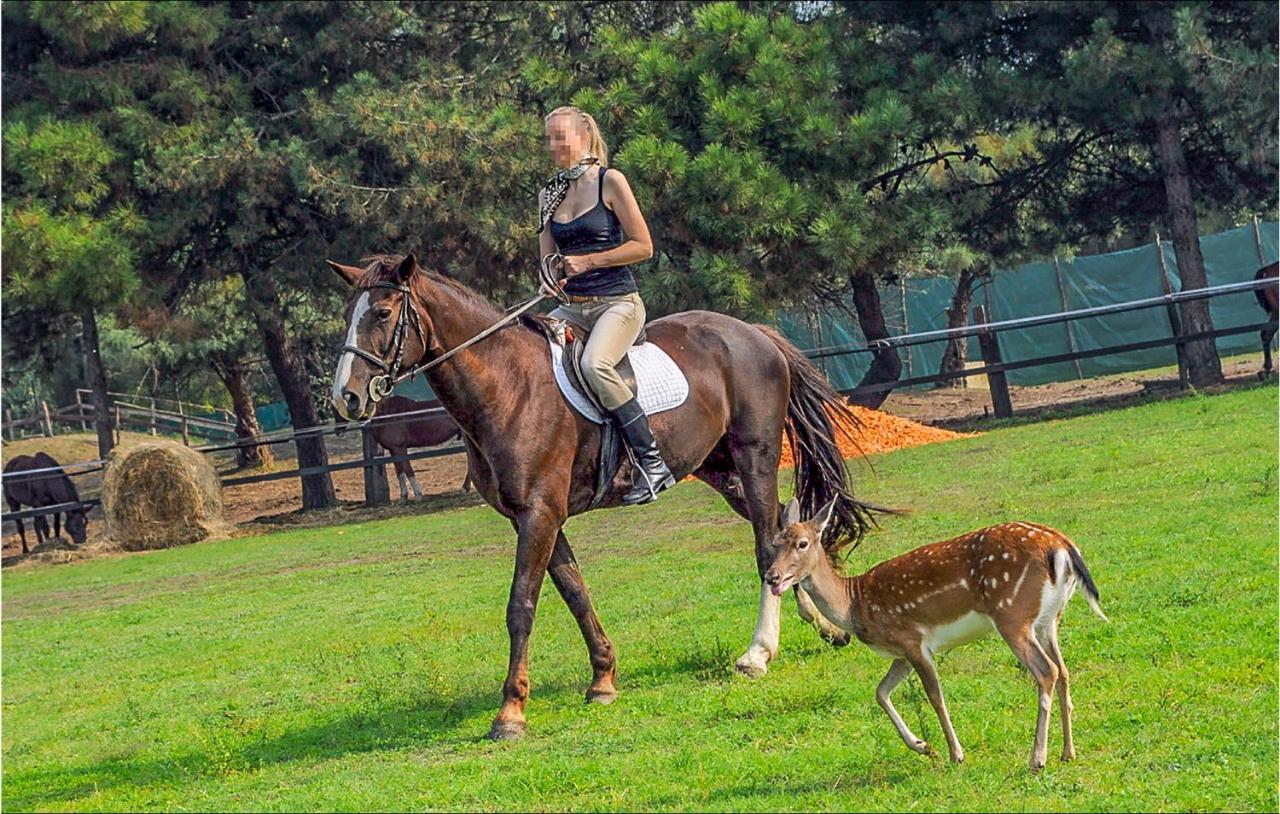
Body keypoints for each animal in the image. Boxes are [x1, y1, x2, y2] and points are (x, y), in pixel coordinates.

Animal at [330, 255, 880, 742]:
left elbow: (521, 606)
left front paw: (511, 713)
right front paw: (603, 679)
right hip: (717, 469)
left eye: (382, 313)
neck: (507, 385)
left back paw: (758, 653)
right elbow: (575, 593)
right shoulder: (536, 518)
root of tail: (752, 332)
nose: (346, 398)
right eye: (348, 313)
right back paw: (824, 629)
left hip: (755, 457)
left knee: (766, 543)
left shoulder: (539, 515)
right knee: (783, 530)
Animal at [762, 496, 1105, 767]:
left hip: (1012, 614)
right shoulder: (901, 651)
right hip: (1048, 620)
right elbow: (880, 692)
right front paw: (922, 746)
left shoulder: (913, 640)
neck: (854, 603)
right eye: (776, 543)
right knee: (1064, 670)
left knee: (1046, 671)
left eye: (802, 543)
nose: (771, 576)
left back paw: (1037, 758)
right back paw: (1068, 752)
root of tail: (1062, 547)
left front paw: (955, 753)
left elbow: (934, 696)